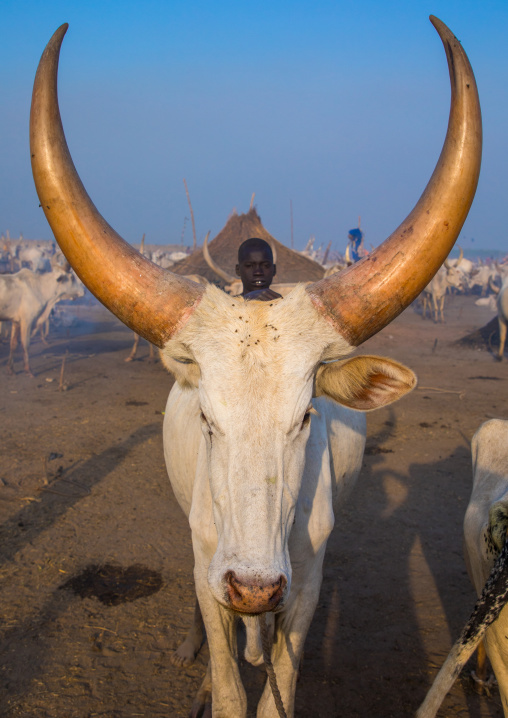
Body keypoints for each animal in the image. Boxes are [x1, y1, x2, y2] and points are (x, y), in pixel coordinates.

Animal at [30, 16, 481, 717]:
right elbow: (226, 685)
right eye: (208, 421)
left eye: (305, 419)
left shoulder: (305, 584)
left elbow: (276, 689)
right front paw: (206, 674)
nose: (253, 586)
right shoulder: (209, 566)